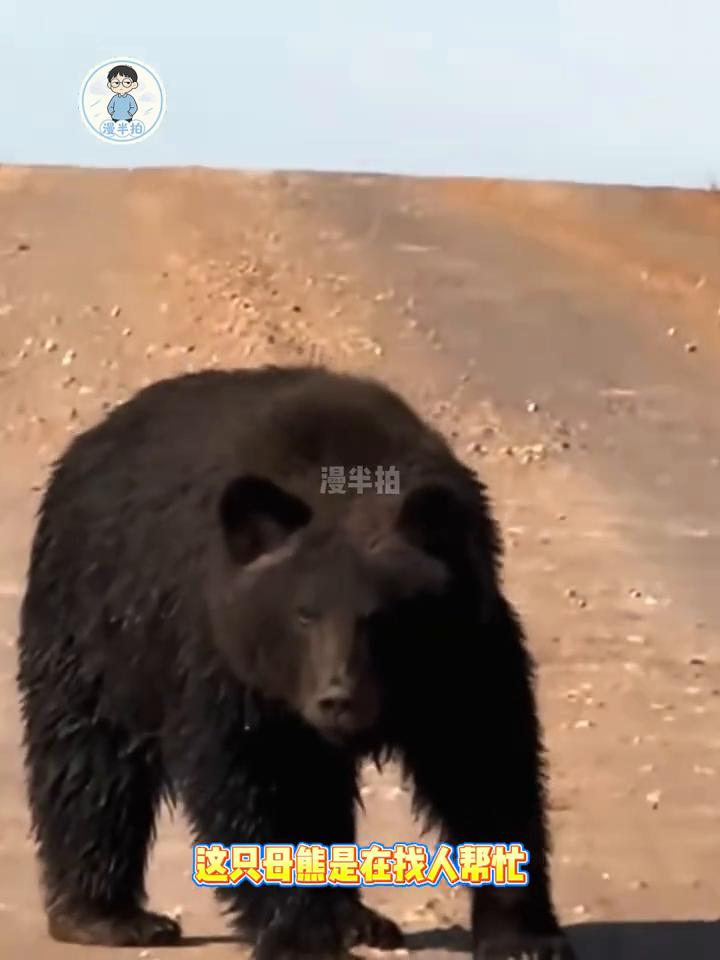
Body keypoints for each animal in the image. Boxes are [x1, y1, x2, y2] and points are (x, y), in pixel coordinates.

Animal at [16, 364, 574, 960]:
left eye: (383, 617)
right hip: (96, 622)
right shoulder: (226, 665)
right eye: (304, 614)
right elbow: (255, 783)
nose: (337, 698)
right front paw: (302, 935)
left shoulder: (469, 647)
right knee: (89, 760)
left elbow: (487, 764)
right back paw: (109, 915)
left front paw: (523, 935)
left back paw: (357, 918)